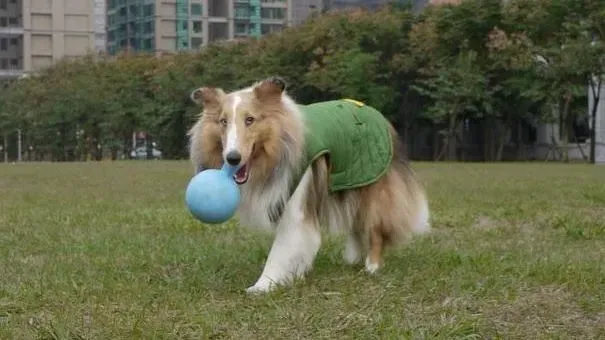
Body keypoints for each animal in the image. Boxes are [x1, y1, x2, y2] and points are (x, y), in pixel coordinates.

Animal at [189, 76, 430, 292]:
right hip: (350, 183)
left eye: (250, 119)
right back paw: (353, 258)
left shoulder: (296, 206)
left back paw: (372, 266)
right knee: (355, 223)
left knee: (375, 227)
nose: (232, 158)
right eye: (223, 121)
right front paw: (295, 274)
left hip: (373, 187)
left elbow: (281, 250)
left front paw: (263, 285)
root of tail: (378, 115)